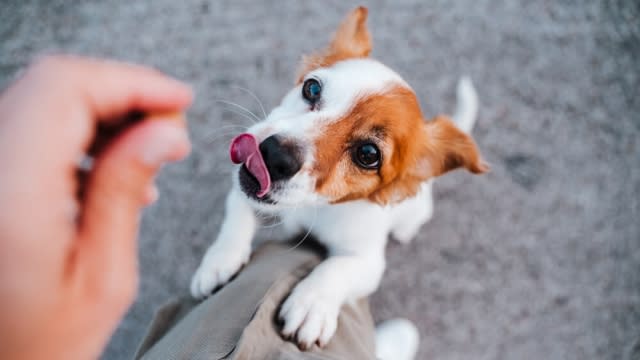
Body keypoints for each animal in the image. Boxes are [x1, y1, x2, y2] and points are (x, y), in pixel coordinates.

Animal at [190, 4, 484, 348]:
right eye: (312, 88)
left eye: (368, 154)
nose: (274, 155)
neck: (312, 206)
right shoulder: (244, 192)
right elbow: (236, 216)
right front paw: (219, 261)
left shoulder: (369, 262)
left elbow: (338, 267)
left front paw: (311, 303)